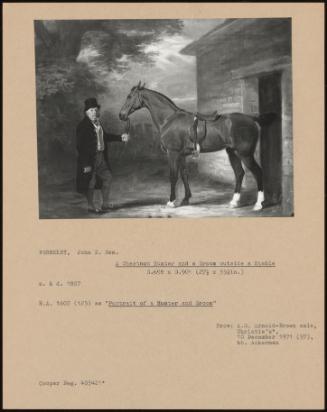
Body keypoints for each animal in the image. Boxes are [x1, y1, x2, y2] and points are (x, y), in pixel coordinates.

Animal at [119, 81, 276, 209]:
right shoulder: (181, 155)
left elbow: (173, 176)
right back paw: (234, 202)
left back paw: (258, 204)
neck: (169, 119)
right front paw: (186, 199)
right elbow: (184, 175)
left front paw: (171, 201)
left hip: (245, 153)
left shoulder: (173, 153)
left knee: (257, 172)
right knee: (239, 173)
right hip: (232, 152)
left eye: (129, 96)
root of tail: (250, 118)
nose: (121, 115)